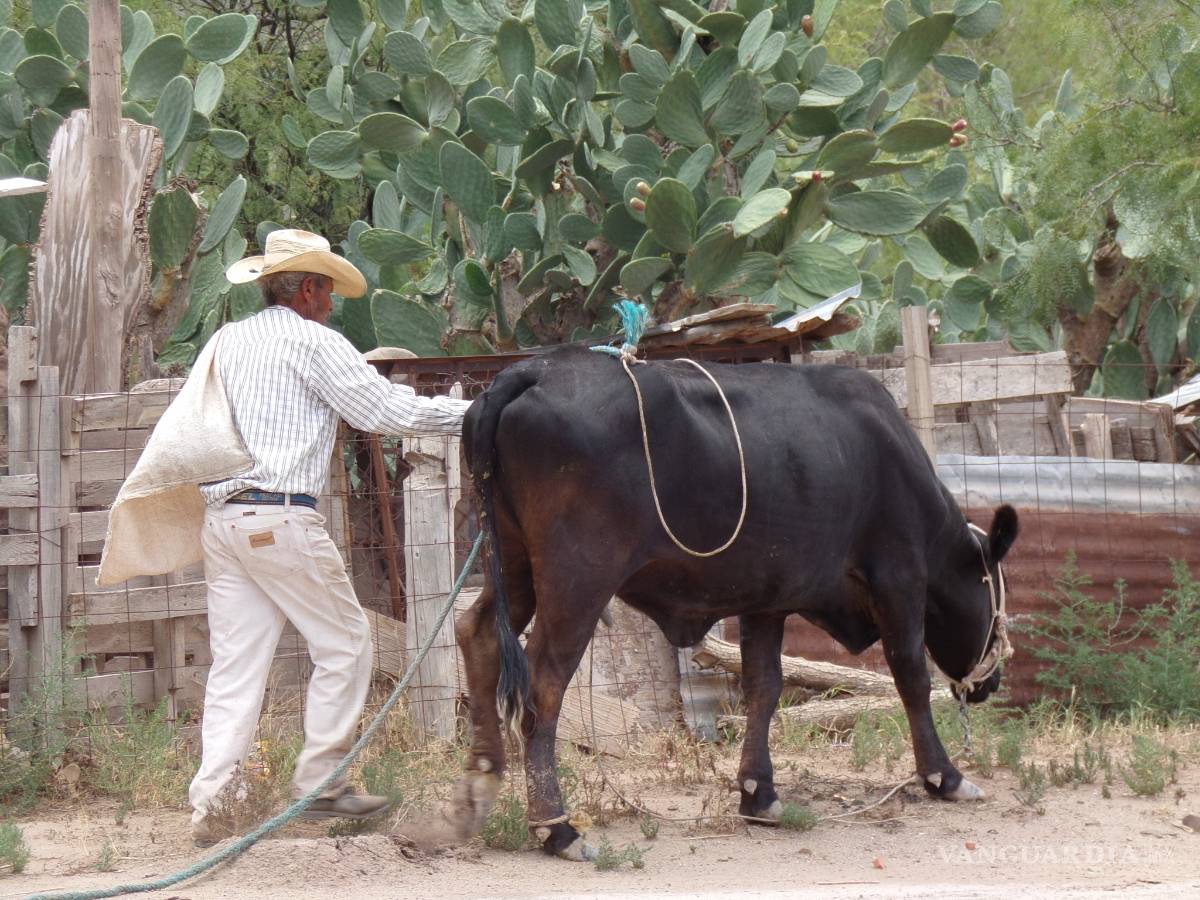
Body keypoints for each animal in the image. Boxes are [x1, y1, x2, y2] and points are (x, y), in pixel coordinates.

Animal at [447, 346, 1017, 860]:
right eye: (996, 602)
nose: (991, 683)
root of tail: (532, 370)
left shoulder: (767, 600)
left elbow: (763, 687)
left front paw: (758, 793)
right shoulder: (898, 576)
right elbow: (911, 678)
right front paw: (944, 776)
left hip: (512, 564)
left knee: (476, 632)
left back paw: (480, 783)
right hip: (578, 581)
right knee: (543, 684)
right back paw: (556, 827)